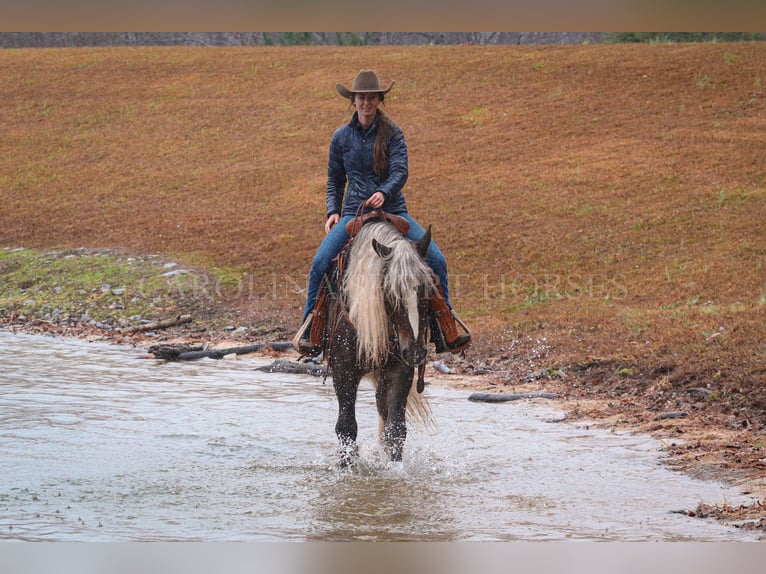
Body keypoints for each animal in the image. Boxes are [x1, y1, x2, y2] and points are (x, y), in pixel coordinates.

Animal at [324, 220, 438, 468]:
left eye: (429, 289)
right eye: (391, 293)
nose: (416, 352)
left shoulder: (399, 369)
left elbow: (395, 428)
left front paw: (395, 469)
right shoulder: (343, 371)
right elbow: (346, 427)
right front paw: (347, 467)